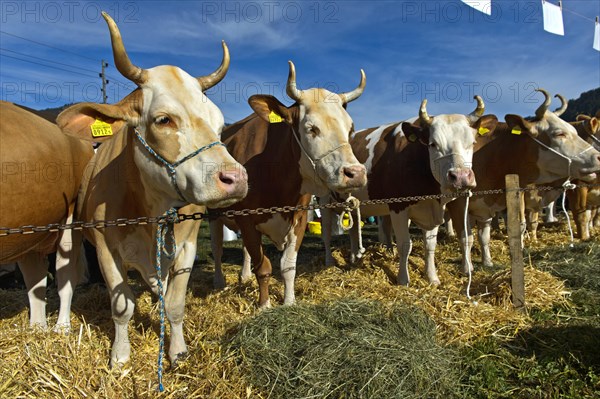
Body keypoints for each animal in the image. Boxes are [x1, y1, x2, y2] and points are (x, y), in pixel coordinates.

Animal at [0, 101, 94, 332]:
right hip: (30, 228)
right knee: (35, 277)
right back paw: (37, 328)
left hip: (71, 218)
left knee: (65, 274)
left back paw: (62, 328)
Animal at [54, 13, 246, 368]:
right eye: (163, 120)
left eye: (219, 124)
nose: (235, 177)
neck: (151, 211)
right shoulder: (106, 249)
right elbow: (121, 306)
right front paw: (119, 355)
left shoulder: (186, 246)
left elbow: (175, 303)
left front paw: (177, 350)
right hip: (68, 230)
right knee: (66, 279)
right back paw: (61, 325)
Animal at [209, 61, 368, 308]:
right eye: (311, 128)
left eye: (350, 129)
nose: (356, 173)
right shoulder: (248, 219)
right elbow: (264, 266)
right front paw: (265, 305)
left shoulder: (299, 216)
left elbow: (288, 266)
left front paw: (289, 302)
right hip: (212, 213)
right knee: (217, 249)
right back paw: (219, 281)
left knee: (244, 250)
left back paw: (244, 276)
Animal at [324, 97, 496, 286]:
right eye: (433, 144)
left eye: (472, 143)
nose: (460, 177)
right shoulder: (398, 206)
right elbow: (405, 244)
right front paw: (403, 280)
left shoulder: (438, 206)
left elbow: (436, 244)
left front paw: (433, 278)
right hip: (322, 199)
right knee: (326, 234)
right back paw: (330, 262)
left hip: (354, 204)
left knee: (354, 230)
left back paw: (355, 258)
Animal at [448, 89, 600, 274]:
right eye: (559, 133)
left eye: (575, 131)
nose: (598, 157)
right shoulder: (458, 203)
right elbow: (465, 237)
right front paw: (467, 268)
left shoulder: (504, 198)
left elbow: (500, 231)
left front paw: (489, 262)